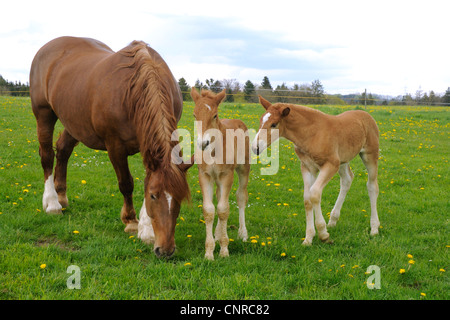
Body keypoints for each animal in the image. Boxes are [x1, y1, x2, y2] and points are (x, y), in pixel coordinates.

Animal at [30, 37, 192, 258]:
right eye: (153, 196)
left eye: (180, 198)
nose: (165, 250)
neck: (133, 90)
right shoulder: (115, 147)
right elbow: (126, 183)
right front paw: (132, 222)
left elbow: (146, 179)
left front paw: (146, 230)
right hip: (44, 114)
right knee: (46, 155)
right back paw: (52, 203)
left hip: (74, 121)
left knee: (63, 151)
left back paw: (61, 196)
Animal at [191, 87, 251, 260]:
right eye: (194, 115)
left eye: (215, 115)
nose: (202, 143)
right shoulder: (205, 175)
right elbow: (209, 210)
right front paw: (209, 252)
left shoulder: (226, 175)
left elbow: (224, 209)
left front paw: (224, 250)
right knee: (218, 197)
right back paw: (217, 234)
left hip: (244, 168)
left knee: (241, 197)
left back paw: (242, 233)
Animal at [251, 96, 382, 244]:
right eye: (261, 120)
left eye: (274, 124)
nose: (255, 148)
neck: (311, 134)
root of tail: (366, 114)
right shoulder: (307, 167)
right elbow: (307, 198)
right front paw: (308, 238)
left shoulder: (331, 165)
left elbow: (314, 194)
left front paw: (323, 233)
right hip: (343, 160)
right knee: (347, 180)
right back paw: (333, 220)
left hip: (369, 155)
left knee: (372, 186)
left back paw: (374, 228)